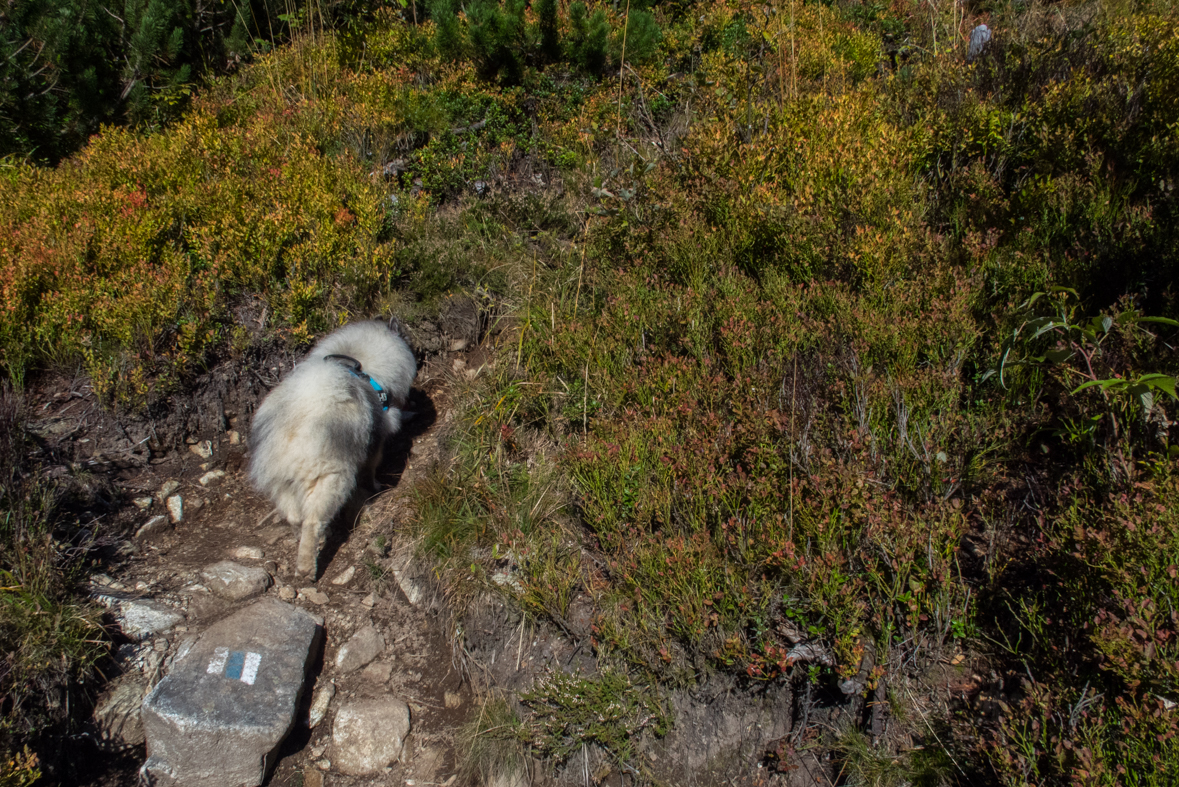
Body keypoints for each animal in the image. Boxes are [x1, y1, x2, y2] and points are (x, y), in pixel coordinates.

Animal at [247, 320, 415, 577]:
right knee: (312, 521)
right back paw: (307, 568)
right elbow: (371, 468)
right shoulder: (376, 439)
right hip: (328, 480)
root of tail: (289, 435)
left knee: (295, 518)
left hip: (282, 485)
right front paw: (376, 486)